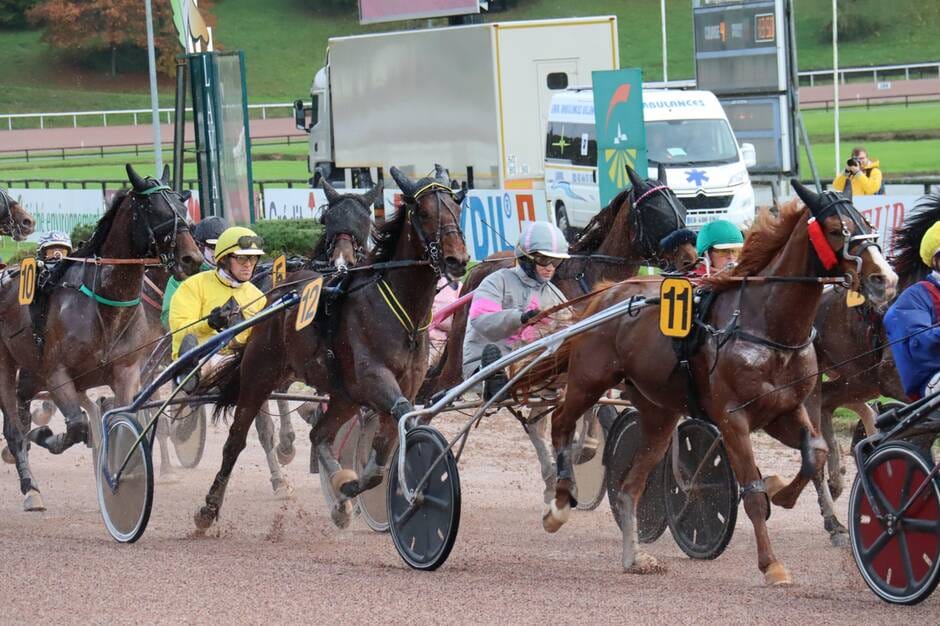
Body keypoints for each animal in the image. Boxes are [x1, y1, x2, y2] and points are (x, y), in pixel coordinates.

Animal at [0, 163, 202, 510]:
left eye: (181, 203)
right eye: (152, 208)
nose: (192, 258)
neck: (104, 304)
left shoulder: (126, 373)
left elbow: (123, 421)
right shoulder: (56, 374)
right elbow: (77, 426)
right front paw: (46, 436)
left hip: (32, 370)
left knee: (24, 404)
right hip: (9, 363)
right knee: (15, 427)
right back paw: (30, 487)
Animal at [194, 166, 466, 528]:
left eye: (457, 208)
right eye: (423, 212)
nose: (457, 259)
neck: (401, 311)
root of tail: (276, 294)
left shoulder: (403, 385)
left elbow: (382, 451)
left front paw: (349, 486)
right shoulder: (375, 380)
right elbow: (402, 417)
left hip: (343, 395)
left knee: (319, 435)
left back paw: (339, 497)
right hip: (259, 375)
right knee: (236, 440)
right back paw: (209, 507)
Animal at [520, 182, 896, 584]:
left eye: (867, 223)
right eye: (836, 229)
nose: (885, 280)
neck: (765, 325)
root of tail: (607, 293)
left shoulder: (783, 410)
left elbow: (816, 451)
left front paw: (782, 492)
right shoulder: (733, 420)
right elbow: (751, 492)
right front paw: (771, 563)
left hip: (659, 414)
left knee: (629, 487)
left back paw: (634, 557)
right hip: (589, 379)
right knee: (560, 421)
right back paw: (559, 501)